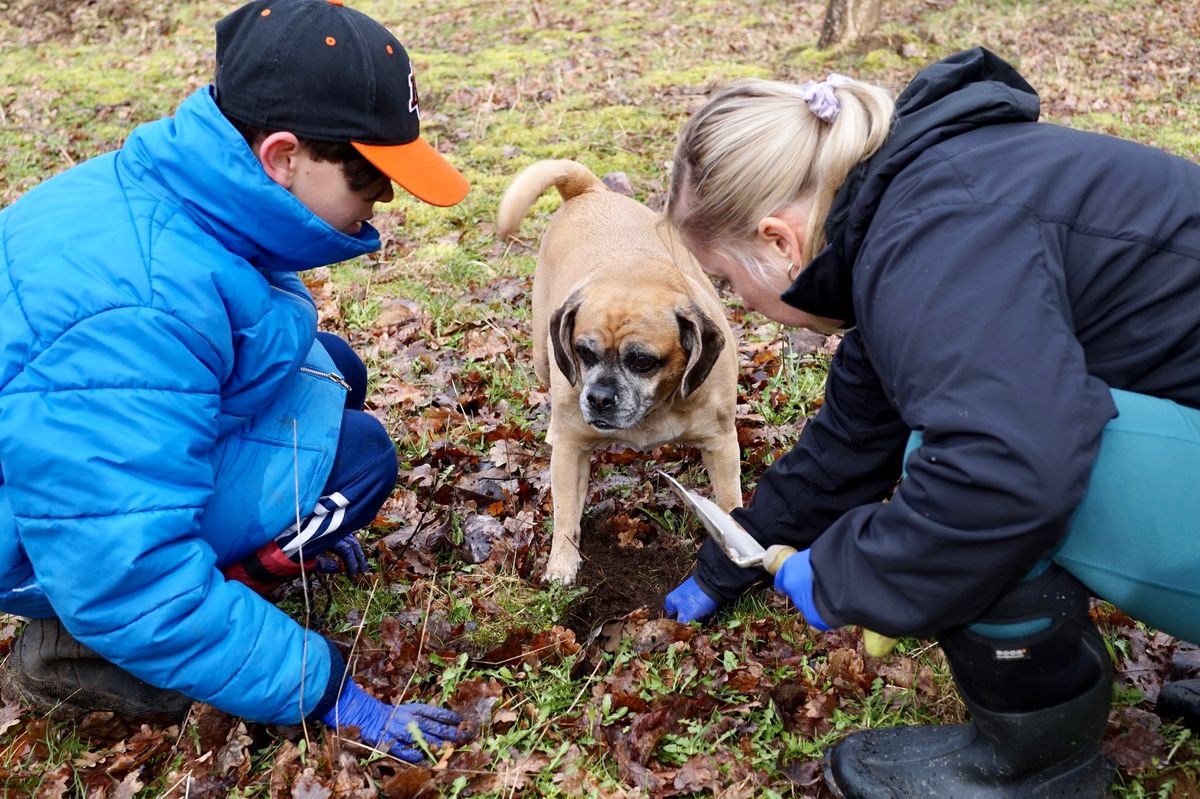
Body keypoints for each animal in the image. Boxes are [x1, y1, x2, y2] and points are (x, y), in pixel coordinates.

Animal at [494, 158, 739, 583]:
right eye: (583, 352)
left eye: (642, 361)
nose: (599, 398)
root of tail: (588, 190)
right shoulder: (571, 449)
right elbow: (566, 514)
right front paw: (563, 563)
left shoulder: (721, 444)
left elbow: (729, 504)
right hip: (543, 358)